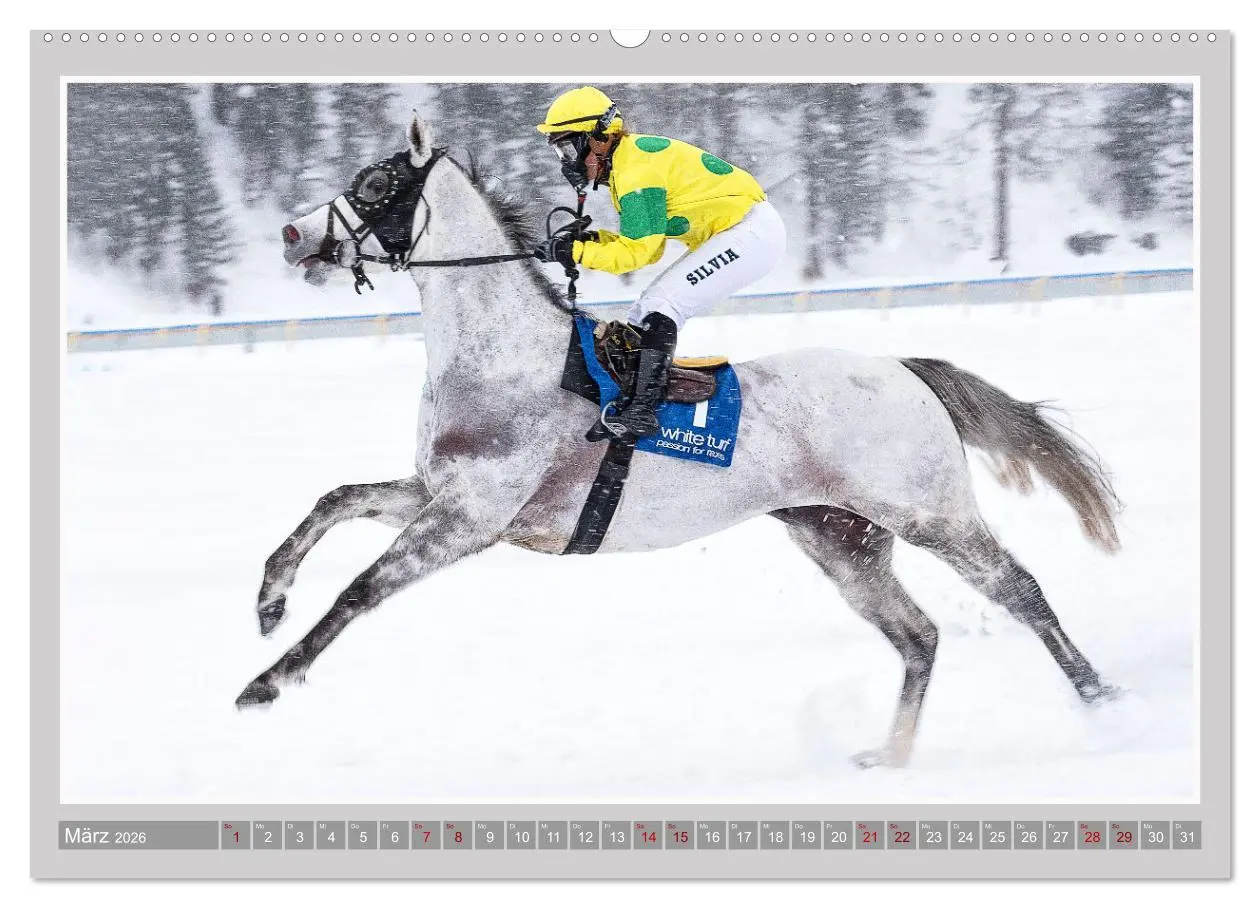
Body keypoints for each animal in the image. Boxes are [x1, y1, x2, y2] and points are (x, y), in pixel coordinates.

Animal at [239, 112, 1121, 769]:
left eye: (375, 184)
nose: (290, 233)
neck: (504, 356)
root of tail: (902, 369)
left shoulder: (468, 520)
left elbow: (359, 591)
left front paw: (269, 682)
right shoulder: (439, 494)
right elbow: (333, 500)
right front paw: (270, 601)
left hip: (929, 512)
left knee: (1019, 590)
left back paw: (1105, 702)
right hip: (840, 538)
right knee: (919, 635)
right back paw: (891, 754)